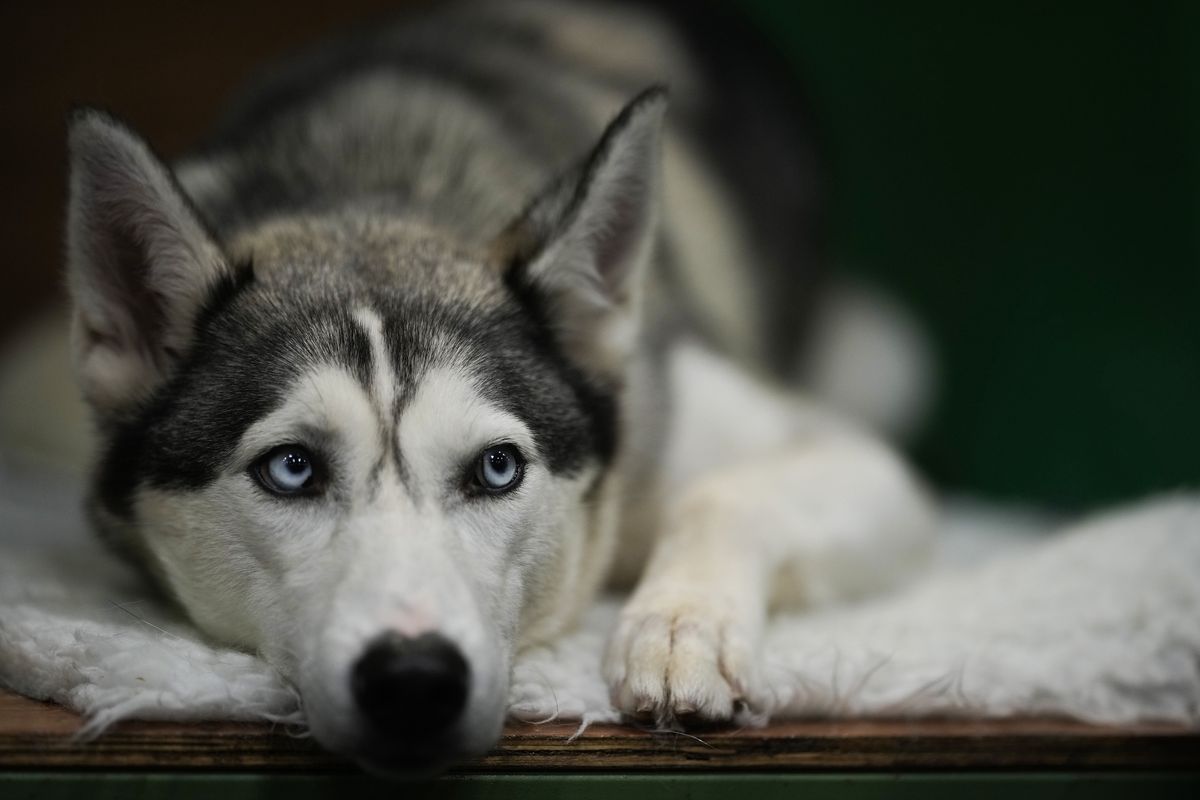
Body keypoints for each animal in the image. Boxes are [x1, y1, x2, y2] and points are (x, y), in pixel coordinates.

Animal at [60, 0, 931, 767]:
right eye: (291, 468)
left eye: (497, 468)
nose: (415, 682)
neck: (377, 192)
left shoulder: (841, 456)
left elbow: (724, 492)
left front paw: (681, 628)